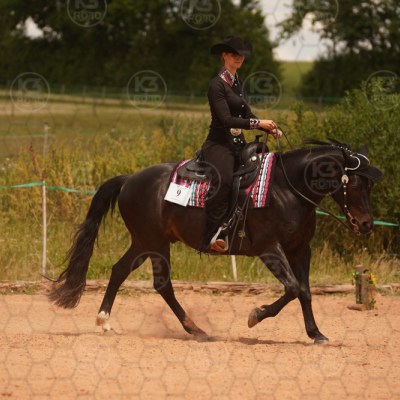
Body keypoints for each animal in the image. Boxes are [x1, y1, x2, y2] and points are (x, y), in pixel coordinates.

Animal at [48, 138, 383, 343]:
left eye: (369, 184)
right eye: (354, 182)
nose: (366, 223)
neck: (285, 188)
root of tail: (129, 179)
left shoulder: (300, 250)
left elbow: (306, 292)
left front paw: (316, 333)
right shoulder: (269, 249)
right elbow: (292, 288)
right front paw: (256, 315)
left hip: (146, 243)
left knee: (125, 273)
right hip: (153, 242)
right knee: (156, 283)